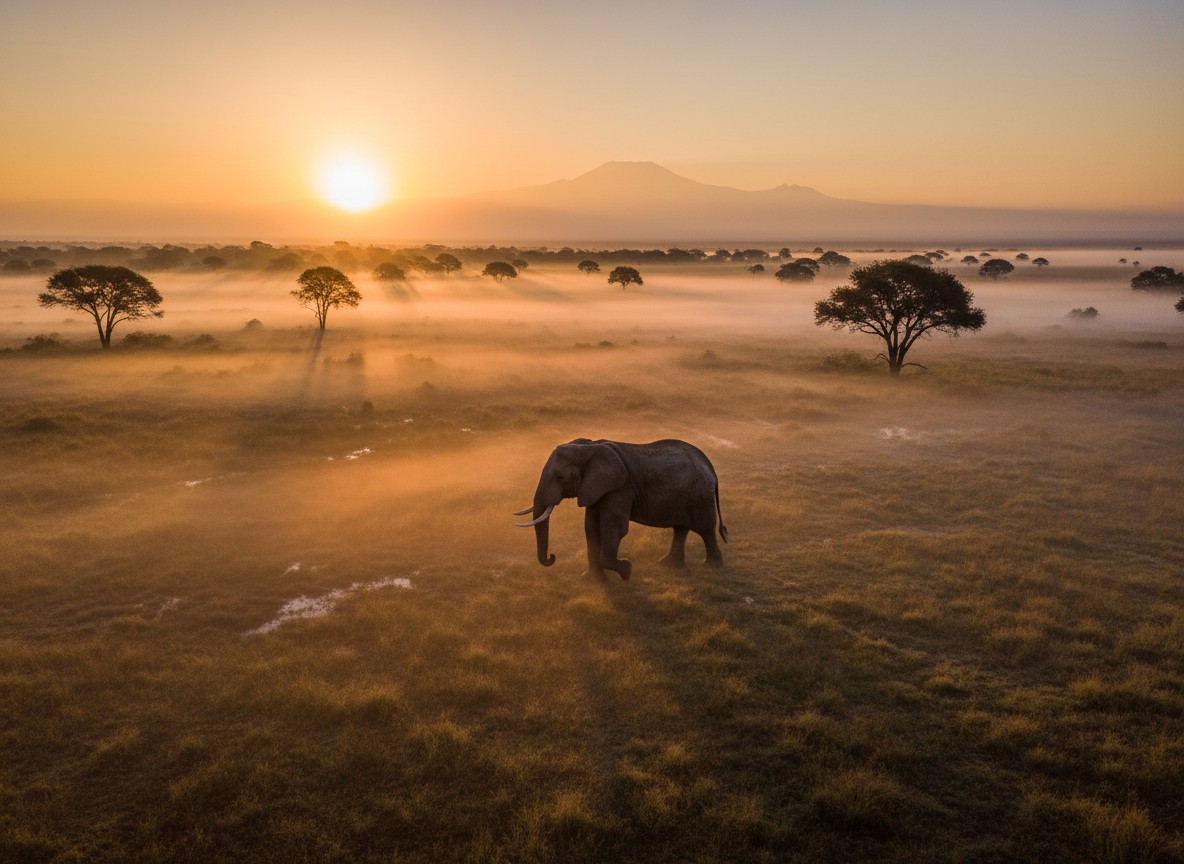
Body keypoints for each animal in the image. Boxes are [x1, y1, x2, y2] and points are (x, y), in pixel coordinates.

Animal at [514, 438, 727, 580]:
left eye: (560, 477)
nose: (552, 557)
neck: (589, 446)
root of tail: (710, 466)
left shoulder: (621, 488)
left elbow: (614, 528)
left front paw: (627, 571)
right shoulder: (596, 488)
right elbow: (591, 527)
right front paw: (592, 580)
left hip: (700, 495)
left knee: (705, 529)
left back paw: (711, 568)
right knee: (680, 529)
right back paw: (669, 565)